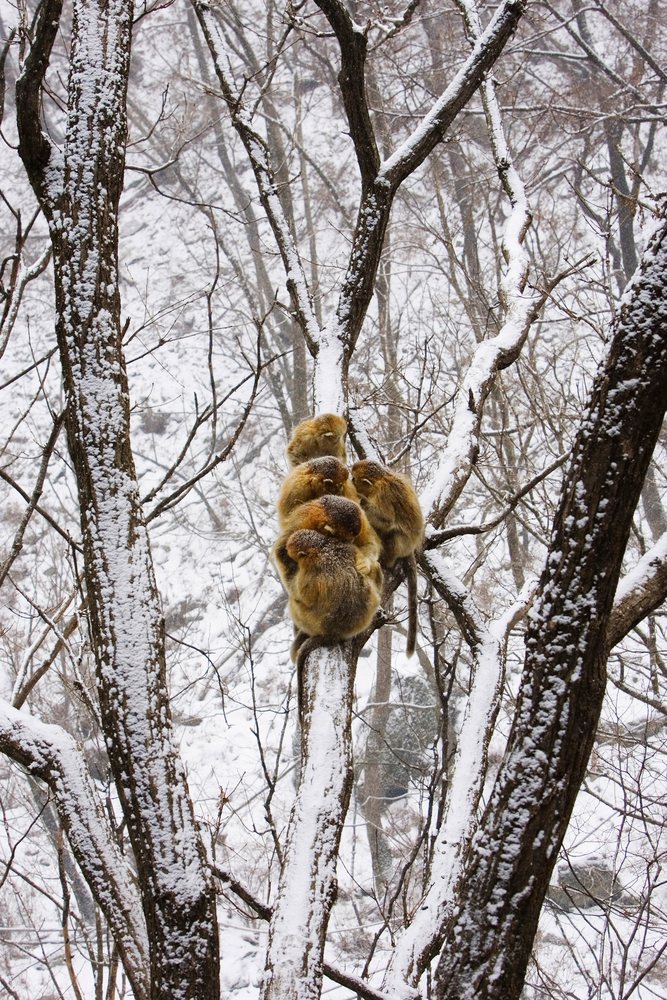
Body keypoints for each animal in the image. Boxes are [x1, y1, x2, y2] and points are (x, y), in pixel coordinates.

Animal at [351, 460, 425, 657]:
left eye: (354, 478)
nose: (351, 481)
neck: (381, 478)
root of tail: (411, 547)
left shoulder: (383, 493)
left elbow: (386, 520)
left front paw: (361, 500)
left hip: (401, 545)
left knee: (393, 533)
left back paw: (387, 560)